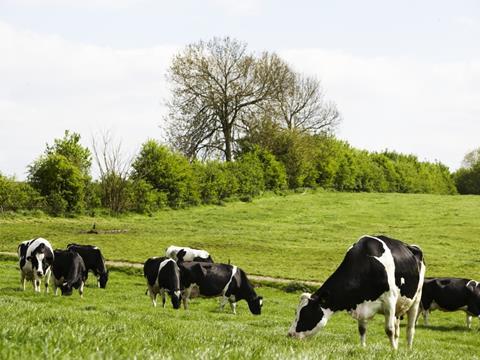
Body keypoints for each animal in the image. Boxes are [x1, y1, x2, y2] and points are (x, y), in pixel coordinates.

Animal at [286, 233, 426, 348]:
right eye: (295, 312)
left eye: (305, 314)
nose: (290, 334)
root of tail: (411, 247)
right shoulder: (361, 302)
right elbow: (362, 329)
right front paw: (363, 348)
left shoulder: (389, 300)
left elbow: (389, 330)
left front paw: (392, 351)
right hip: (399, 307)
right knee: (397, 328)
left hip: (416, 298)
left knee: (410, 329)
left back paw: (407, 349)